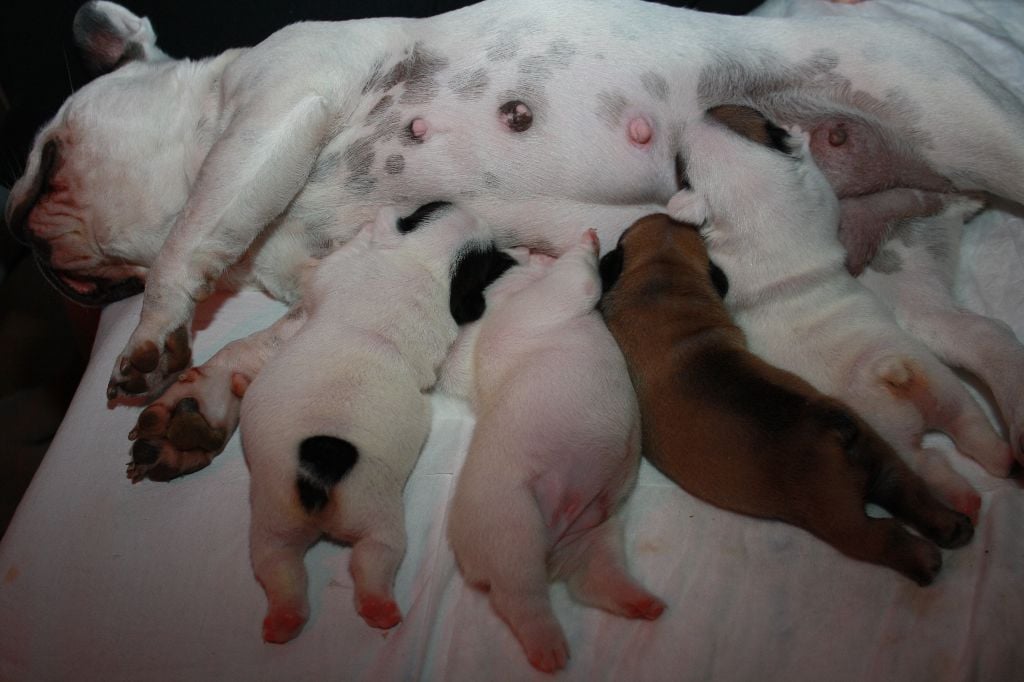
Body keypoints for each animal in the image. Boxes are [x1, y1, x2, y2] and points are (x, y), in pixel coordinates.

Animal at [6, 0, 1024, 477]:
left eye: (47, 161)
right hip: (900, 270)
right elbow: (266, 347)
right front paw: (202, 397)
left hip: (964, 125)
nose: (15, 233)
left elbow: (193, 229)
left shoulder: (275, 107)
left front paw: (153, 338)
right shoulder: (343, 276)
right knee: (981, 340)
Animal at [236, 201, 499, 643]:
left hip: (322, 513)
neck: (419, 258)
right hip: (305, 511)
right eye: (428, 208)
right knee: (306, 562)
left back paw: (352, 609)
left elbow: (326, 271)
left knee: (348, 558)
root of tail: (318, 472)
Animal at [448, 227, 663, 667]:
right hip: (514, 532)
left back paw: (639, 602)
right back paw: (548, 648)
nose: (529, 247)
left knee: (595, 580)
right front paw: (586, 242)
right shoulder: (552, 297)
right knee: (518, 598)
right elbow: (577, 277)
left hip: (596, 531)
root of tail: (553, 555)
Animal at [598, 214, 974, 585]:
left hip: (840, 517)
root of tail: (831, 426)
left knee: (883, 536)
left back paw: (925, 561)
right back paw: (952, 526)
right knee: (907, 489)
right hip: (881, 456)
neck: (663, 280)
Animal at [667, 107, 1011, 520]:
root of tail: (888, 374)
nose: (702, 111)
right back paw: (984, 480)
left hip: (922, 401)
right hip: (928, 399)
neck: (760, 209)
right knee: (953, 442)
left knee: (952, 442)